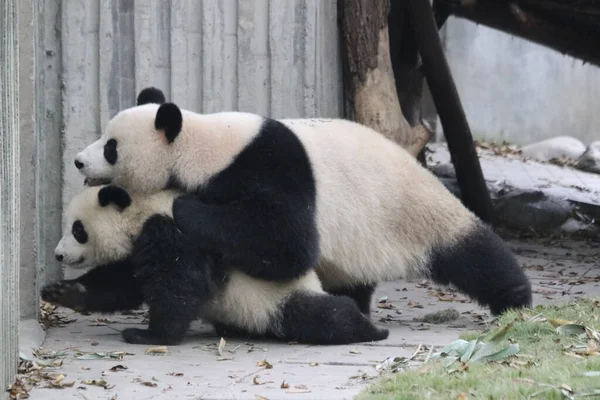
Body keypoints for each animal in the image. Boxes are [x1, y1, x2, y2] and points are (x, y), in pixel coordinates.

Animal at [42, 183, 390, 346]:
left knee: (320, 315)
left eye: (78, 230)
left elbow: (179, 285)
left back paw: (370, 329)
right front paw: (61, 292)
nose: (58, 255)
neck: (143, 207)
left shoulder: (174, 232)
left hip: (277, 296)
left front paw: (149, 336)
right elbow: (121, 284)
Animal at [72, 86, 532, 316]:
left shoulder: (266, 165)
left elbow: (287, 241)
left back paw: (515, 299)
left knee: (474, 254)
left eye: (111, 148)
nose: (78, 160)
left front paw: (187, 208)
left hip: (416, 213)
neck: (201, 142)